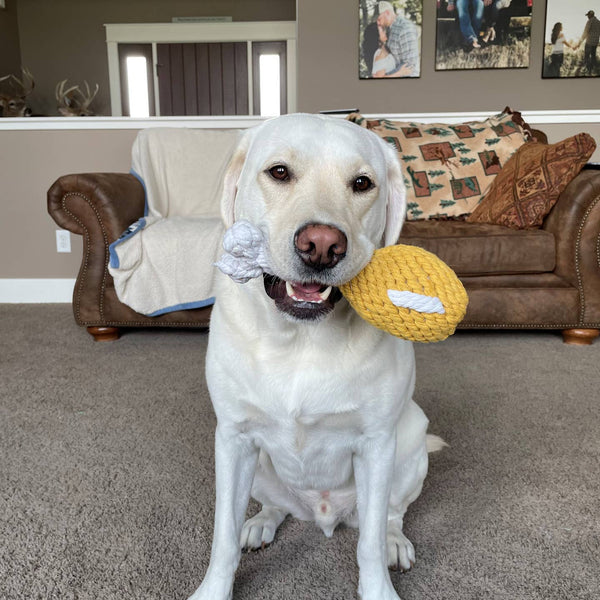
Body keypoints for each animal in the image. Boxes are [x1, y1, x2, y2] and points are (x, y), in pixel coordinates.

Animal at [189, 113, 440, 600]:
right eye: (279, 172)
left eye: (362, 183)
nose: (322, 245)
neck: (301, 340)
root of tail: (322, 514)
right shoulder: (233, 439)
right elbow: (222, 536)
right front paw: (214, 588)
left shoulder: (376, 445)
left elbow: (369, 546)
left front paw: (379, 585)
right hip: (260, 468)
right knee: (275, 508)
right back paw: (261, 523)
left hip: (410, 445)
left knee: (390, 516)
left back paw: (395, 541)